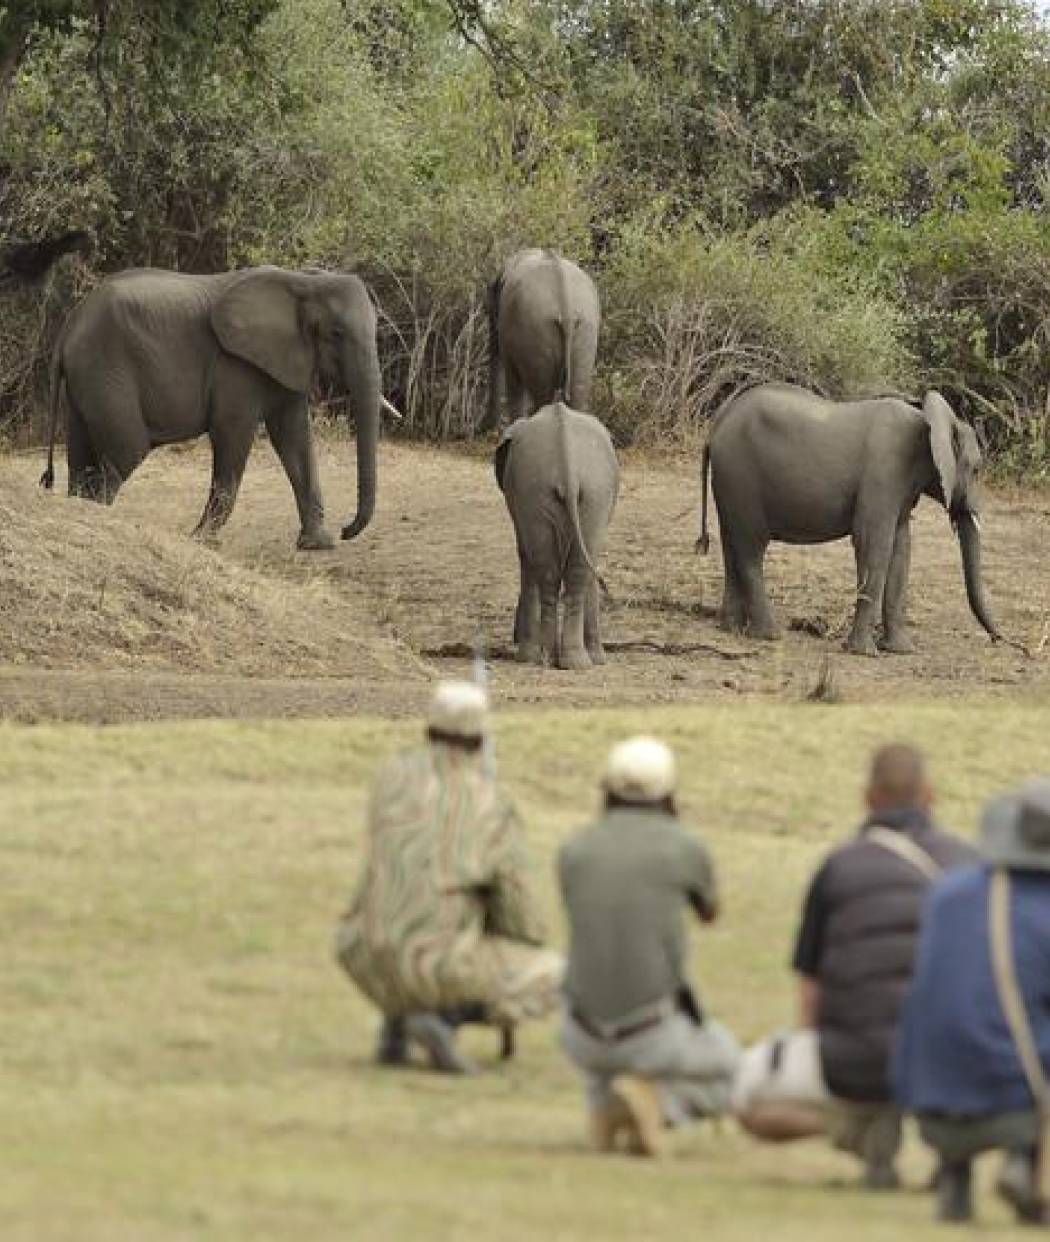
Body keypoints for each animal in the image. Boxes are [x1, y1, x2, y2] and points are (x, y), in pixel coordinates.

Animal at [40, 265, 386, 549]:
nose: (346, 530)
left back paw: (80, 511)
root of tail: (68, 328)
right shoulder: (236, 366)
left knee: (82, 455)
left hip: (85, 380)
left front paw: (317, 544)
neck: (303, 281)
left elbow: (295, 436)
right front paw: (202, 541)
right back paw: (101, 520)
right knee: (125, 451)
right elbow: (234, 433)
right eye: (336, 333)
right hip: (105, 369)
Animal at [481, 248, 600, 432]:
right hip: (585, 332)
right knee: (576, 395)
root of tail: (566, 308)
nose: (484, 429)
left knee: (542, 396)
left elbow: (514, 384)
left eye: (489, 310)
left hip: (536, 333)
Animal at [495, 400, 619, 670]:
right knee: (567, 568)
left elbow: (525, 555)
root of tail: (567, 467)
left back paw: (550, 659)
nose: (513, 636)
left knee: (549, 566)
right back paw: (566, 661)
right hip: (576, 492)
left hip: (564, 491)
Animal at [697, 383, 1001, 656]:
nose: (998, 638)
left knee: (731, 544)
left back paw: (731, 629)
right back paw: (769, 635)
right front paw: (864, 653)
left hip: (729, 482)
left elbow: (901, 550)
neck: (930, 420)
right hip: (741, 476)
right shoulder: (884, 472)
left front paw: (902, 651)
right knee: (751, 547)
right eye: (976, 470)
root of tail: (716, 426)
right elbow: (873, 544)